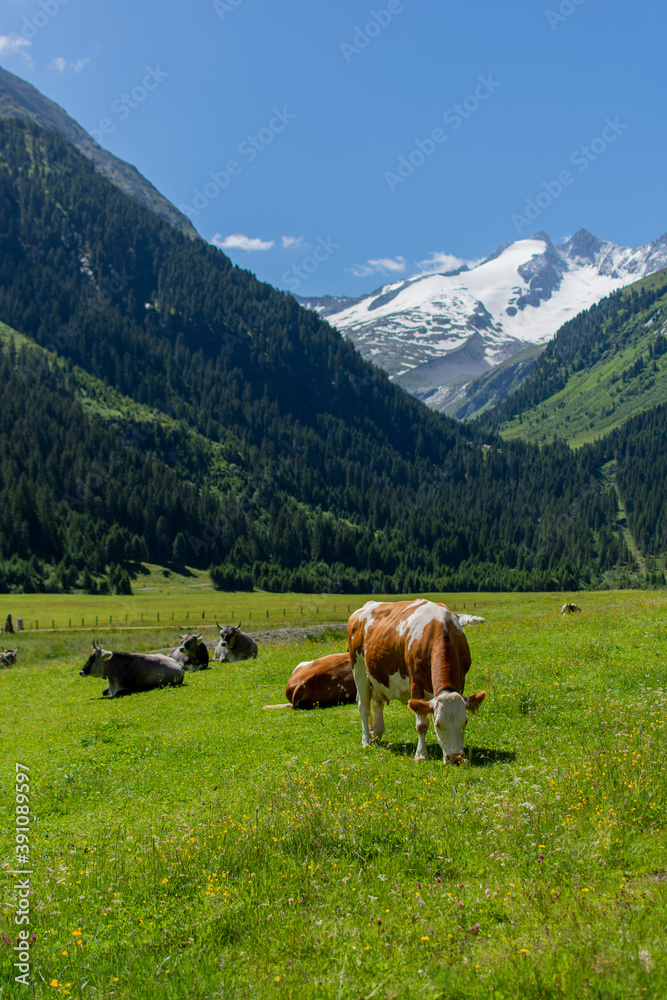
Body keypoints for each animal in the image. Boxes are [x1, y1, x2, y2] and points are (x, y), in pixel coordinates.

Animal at [350, 600, 486, 764]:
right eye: (438, 724)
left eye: (465, 721)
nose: (455, 758)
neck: (440, 627)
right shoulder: (416, 683)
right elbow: (421, 724)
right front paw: (420, 754)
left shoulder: (460, 681)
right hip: (358, 667)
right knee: (363, 705)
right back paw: (366, 740)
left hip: (377, 674)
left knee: (377, 702)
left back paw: (376, 732)